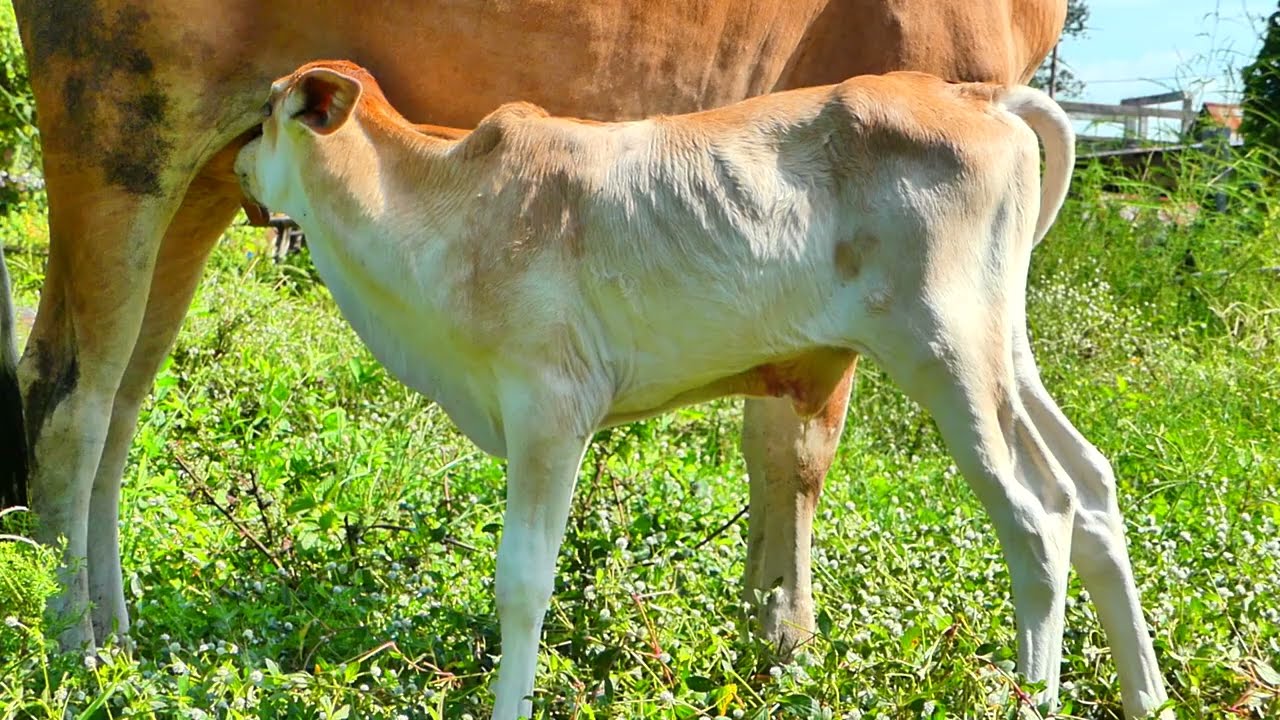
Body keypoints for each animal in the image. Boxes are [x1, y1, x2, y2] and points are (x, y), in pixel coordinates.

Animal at [0, 2, 1164, 718]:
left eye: (277, 114)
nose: (234, 163)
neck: (444, 211)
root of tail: (983, 99)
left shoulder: (550, 412)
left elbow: (522, 581)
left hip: (945, 354)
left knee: (1036, 519)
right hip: (999, 352)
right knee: (1091, 487)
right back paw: (1143, 692)